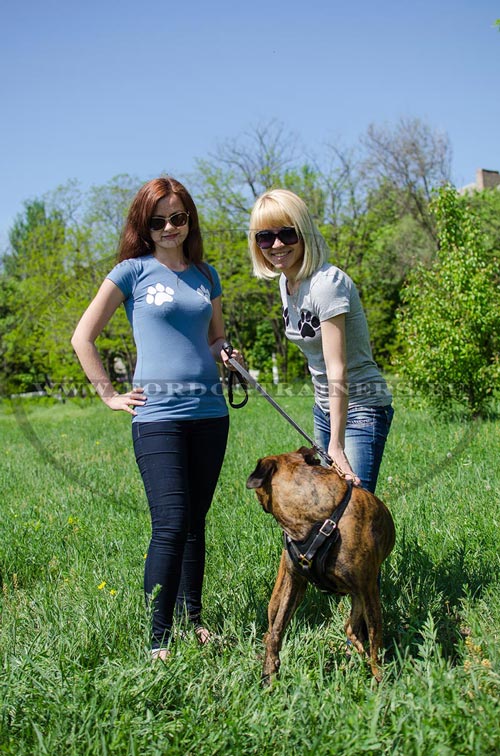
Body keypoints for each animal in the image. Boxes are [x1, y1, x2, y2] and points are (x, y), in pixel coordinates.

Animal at [245, 446, 394, 684]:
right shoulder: (293, 584)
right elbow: (277, 630)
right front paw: (270, 668)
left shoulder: (368, 590)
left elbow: (375, 638)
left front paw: (379, 677)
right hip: (279, 596)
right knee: (270, 629)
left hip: (359, 595)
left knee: (351, 628)